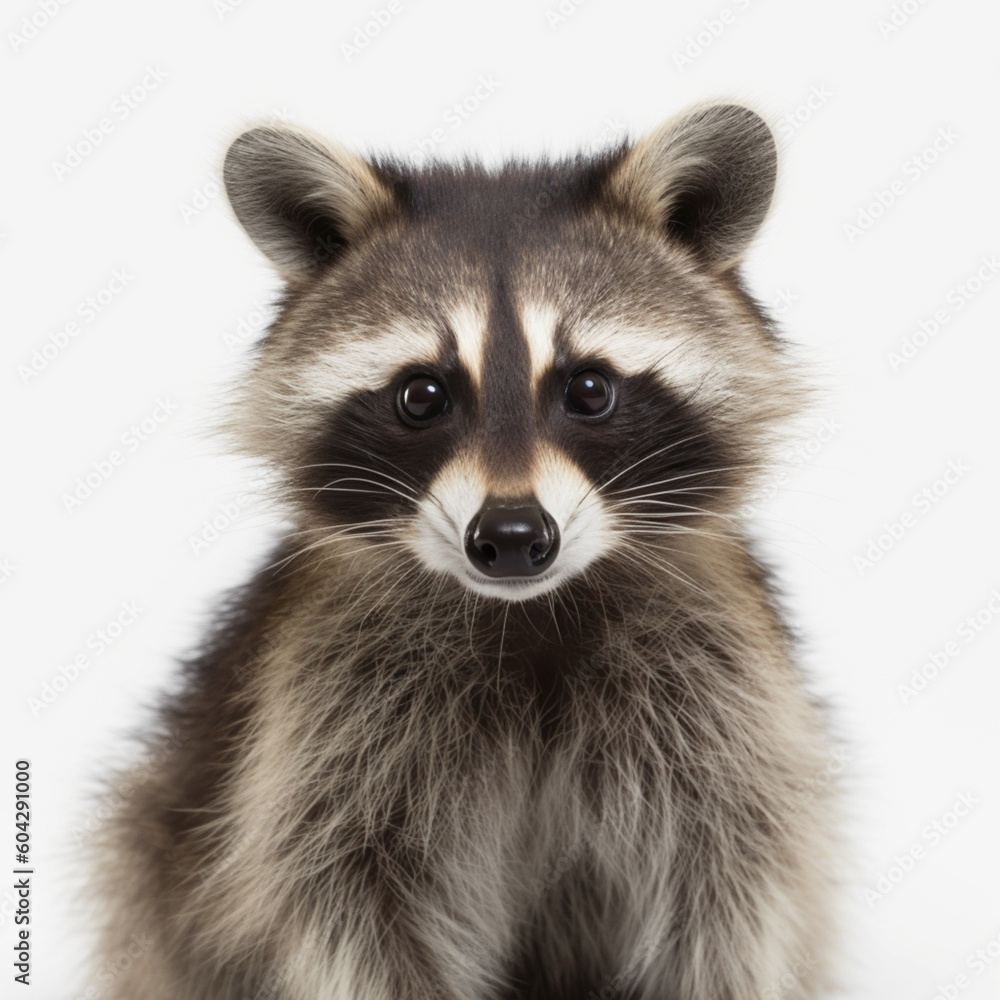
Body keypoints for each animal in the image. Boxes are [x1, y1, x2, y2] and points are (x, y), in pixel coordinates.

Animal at [91, 103, 839, 999]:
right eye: (422, 395)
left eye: (590, 389)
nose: (513, 539)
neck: (532, 613)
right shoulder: (330, 714)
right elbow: (352, 903)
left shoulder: (722, 701)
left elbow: (731, 891)